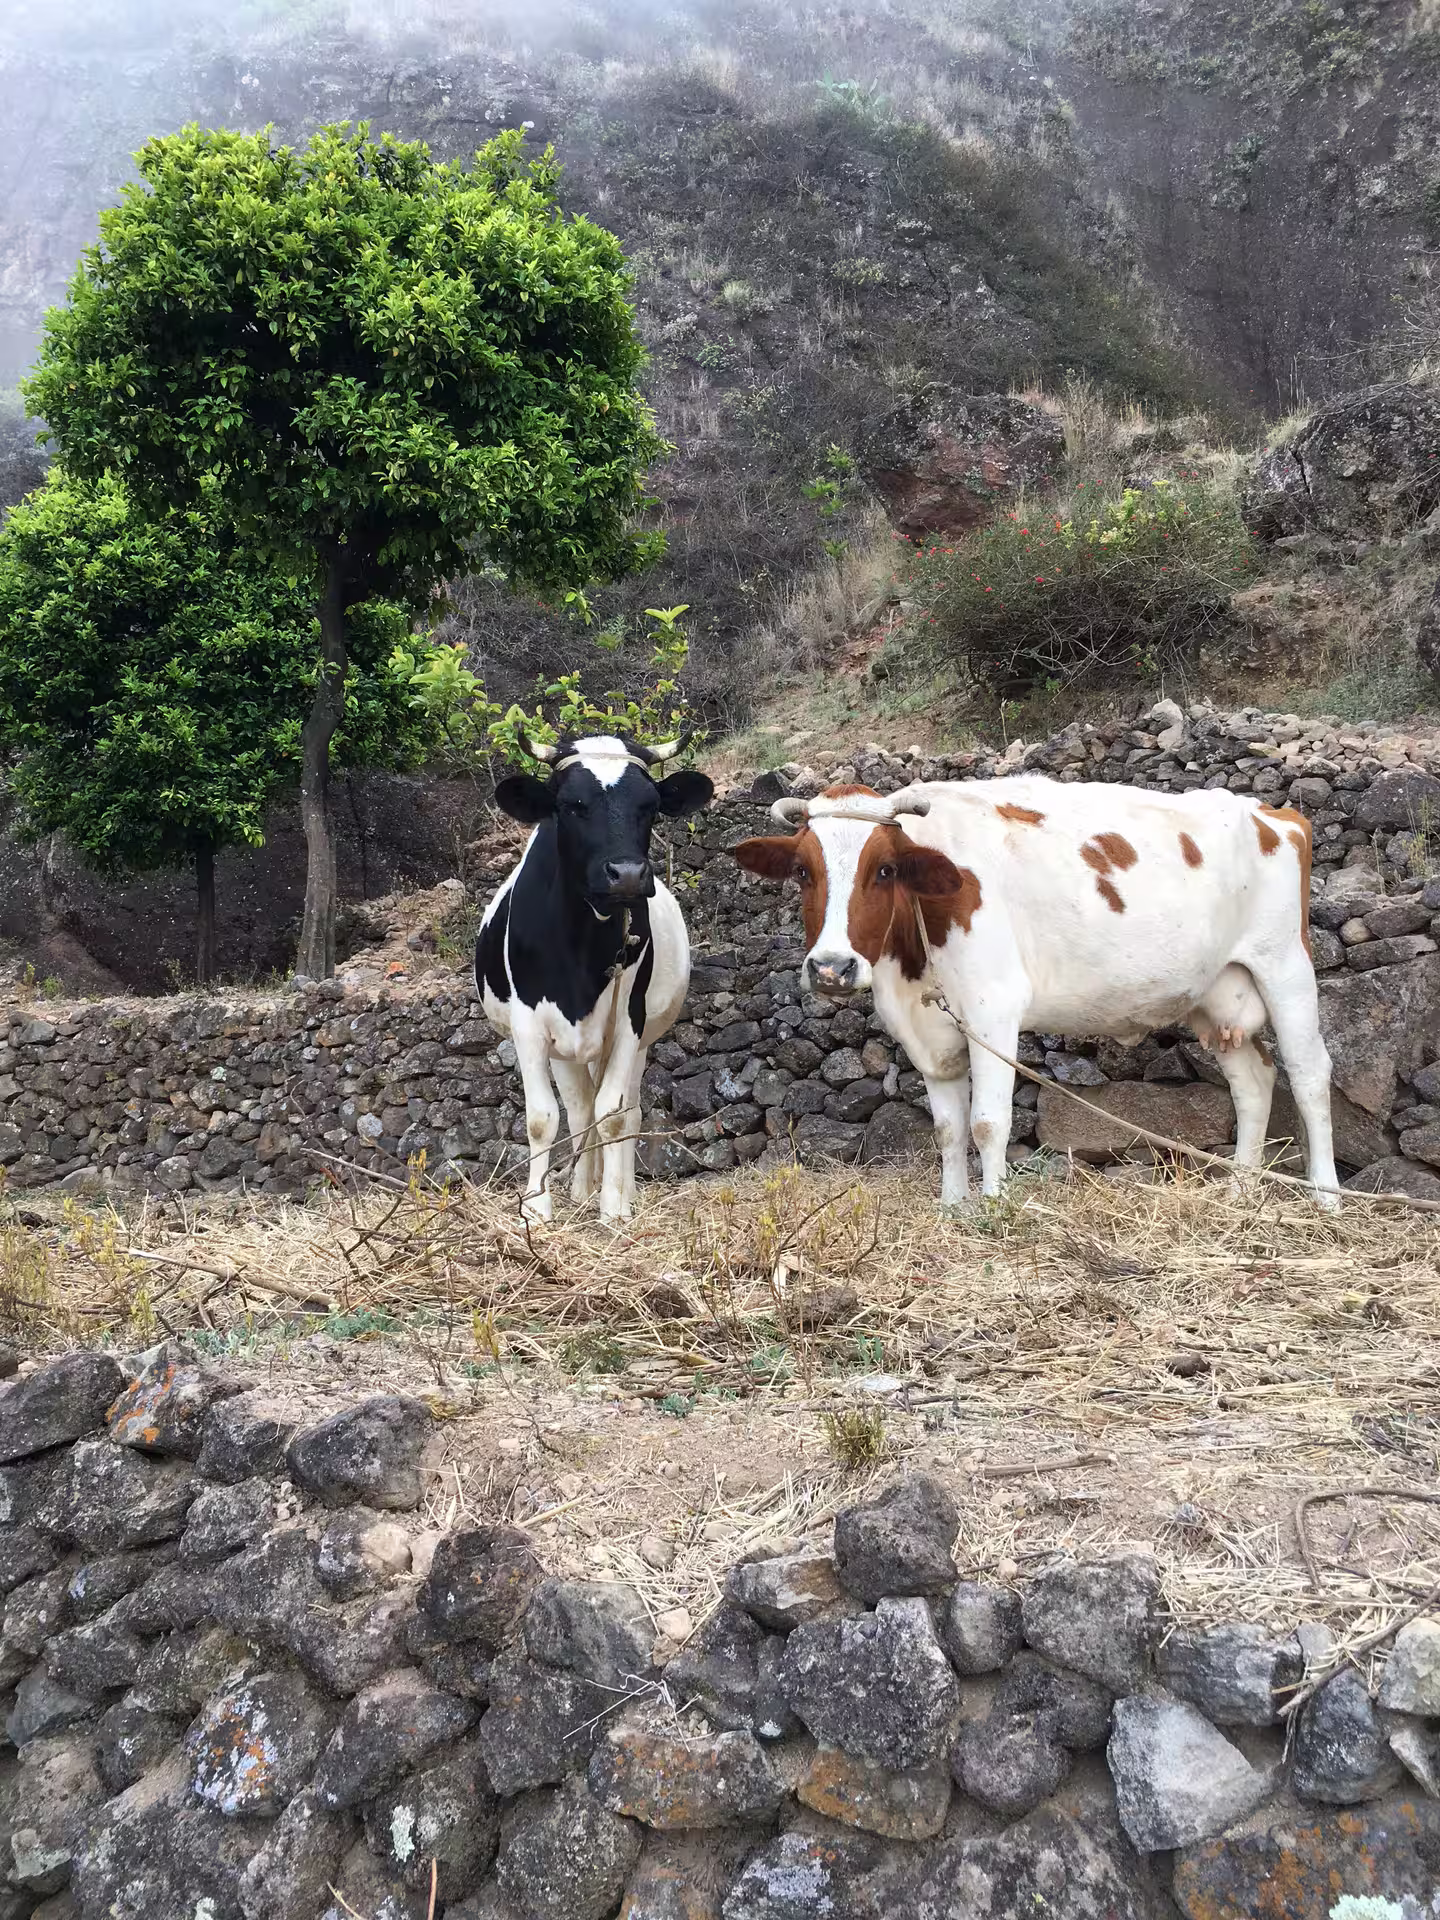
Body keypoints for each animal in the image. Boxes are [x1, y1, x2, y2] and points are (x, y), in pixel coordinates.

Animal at [477, 732, 713, 1224]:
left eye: (651, 805)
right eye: (571, 805)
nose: (627, 875)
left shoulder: (628, 1022)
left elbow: (616, 1114)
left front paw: (613, 1209)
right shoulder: (528, 1026)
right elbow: (542, 1118)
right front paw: (537, 1206)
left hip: (635, 1039)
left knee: (627, 1112)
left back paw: (619, 1192)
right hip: (564, 1050)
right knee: (580, 1109)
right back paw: (580, 1189)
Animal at [729, 778, 1339, 1210]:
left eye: (884, 869)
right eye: (802, 872)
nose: (831, 968)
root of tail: (1273, 813)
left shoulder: (992, 1009)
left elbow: (987, 1121)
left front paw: (996, 1207)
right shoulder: (926, 1029)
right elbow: (947, 1128)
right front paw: (953, 1208)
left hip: (1286, 967)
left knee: (1309, 1076)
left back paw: (1327, 1198)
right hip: (1217, 994)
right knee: (1254, 1082)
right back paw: (1241, 1190)